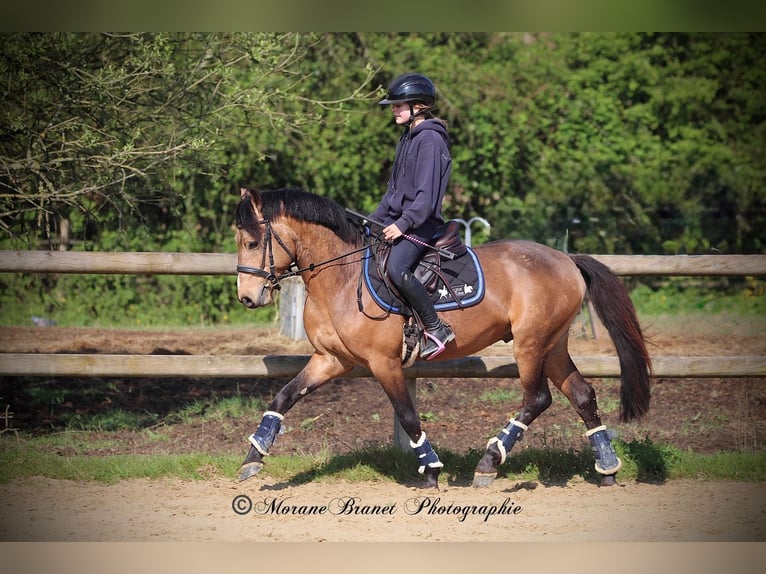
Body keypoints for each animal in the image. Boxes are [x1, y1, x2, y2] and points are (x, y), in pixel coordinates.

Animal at [234, 186, 652, 489]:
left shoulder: (383, 362)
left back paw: (489, 463)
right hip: (554, 346)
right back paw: (607, 468)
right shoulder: (330, 360)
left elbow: (407, 415)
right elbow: (284, 396)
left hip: (530, 345)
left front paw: (431, 469)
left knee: (537, 399)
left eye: (253, 243)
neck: (342, 277)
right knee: (582, 395)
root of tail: (566, 259)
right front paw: (253, 458)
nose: (248, 297)